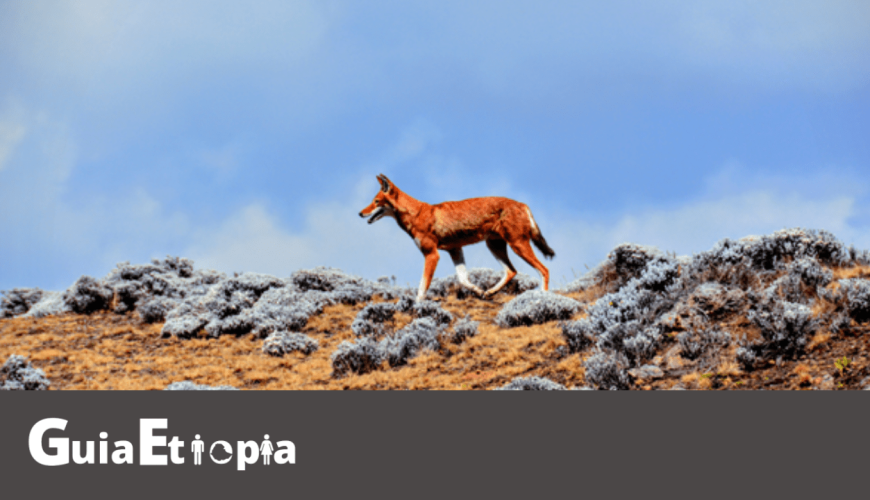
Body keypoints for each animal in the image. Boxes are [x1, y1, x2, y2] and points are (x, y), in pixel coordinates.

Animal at [358, 174, 556, 302]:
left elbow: (422, 287)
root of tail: (523, 204)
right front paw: (478, 290)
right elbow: (463, 280)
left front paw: (417, 307)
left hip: (517, 246)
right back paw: (490, 292)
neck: (417, 214)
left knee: (544, 269)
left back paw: (544, 297)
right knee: (511, 271)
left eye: (376, 202)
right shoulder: (455, 250)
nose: (360, 213)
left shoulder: (432, 254)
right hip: (494, 246)